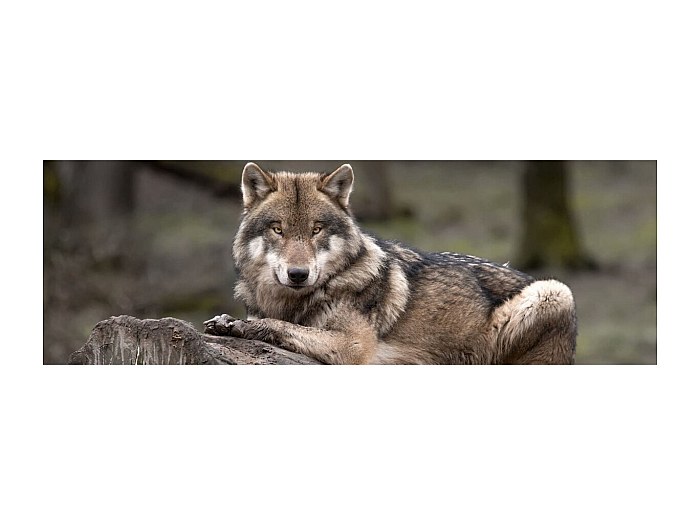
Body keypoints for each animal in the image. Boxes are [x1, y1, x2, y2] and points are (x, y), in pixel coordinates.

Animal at [204, 162, 577, 364]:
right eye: (278, 229)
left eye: (316, 229)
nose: (298, 274)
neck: (290, 302)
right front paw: (228, 322)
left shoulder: (354, 347)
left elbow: (280, 326)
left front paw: (238, 326)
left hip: (556, 291)